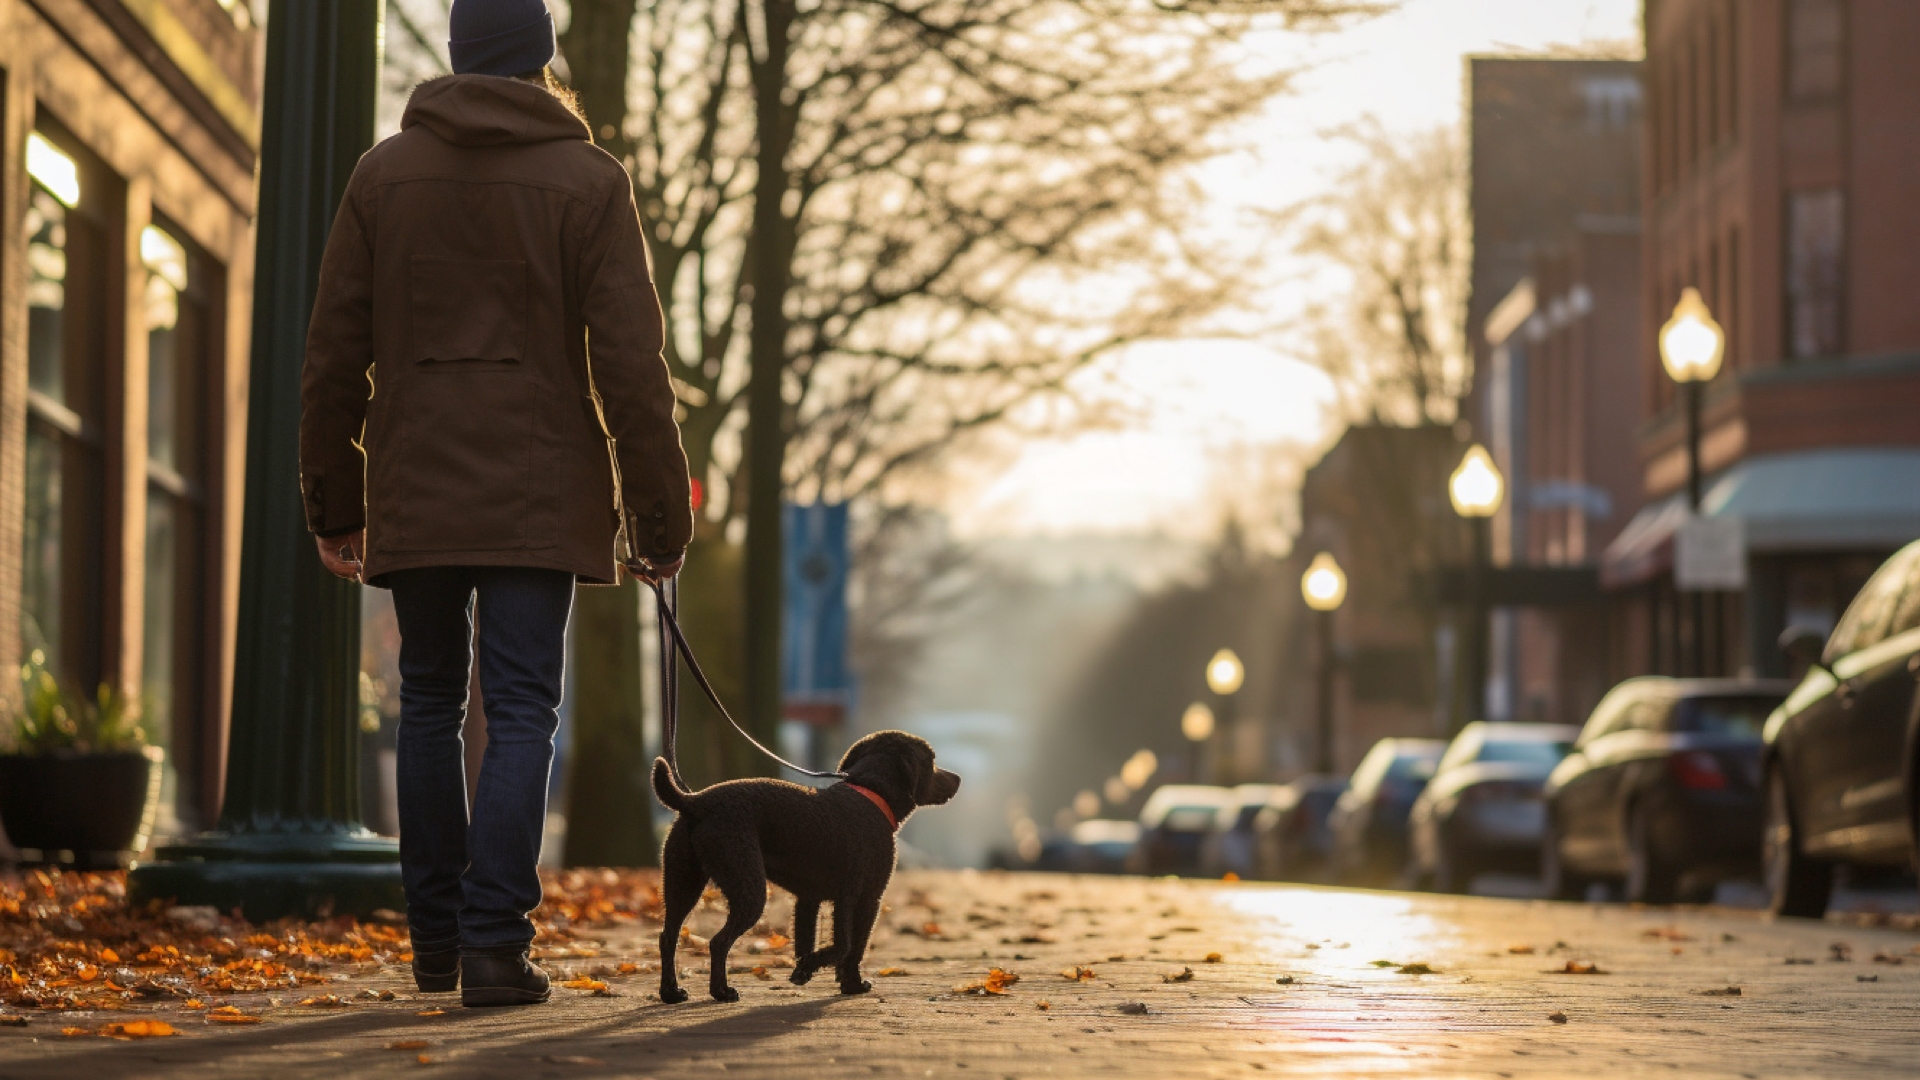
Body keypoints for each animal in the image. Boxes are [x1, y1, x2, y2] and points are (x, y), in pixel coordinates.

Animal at [652, 726, 960, 999]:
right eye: (932, 760)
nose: (957, 778)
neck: (872, 793)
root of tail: (694, 802)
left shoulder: (809, 899)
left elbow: (806, 940)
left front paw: (804, 970)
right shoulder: (862, 898)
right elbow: (849, 947)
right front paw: (850, 984)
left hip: (682, 883)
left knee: (668, 937)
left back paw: (671, 993)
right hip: (746, 888)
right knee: (718, 942)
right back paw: (721, 992)